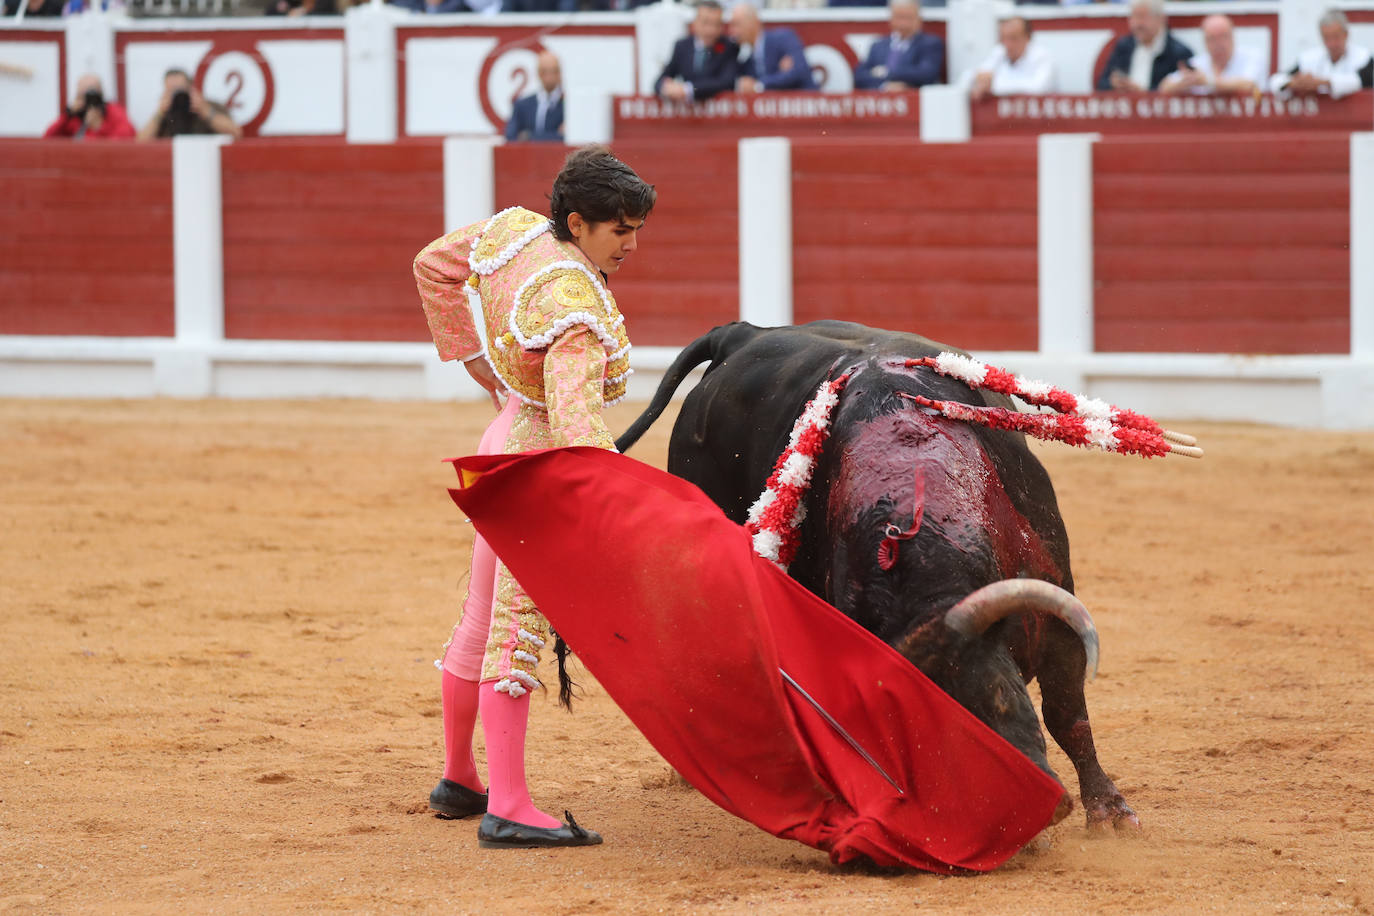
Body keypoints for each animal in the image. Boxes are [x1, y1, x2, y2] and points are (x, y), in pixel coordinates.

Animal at [621, 321, 1137, 829]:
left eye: (998, 702)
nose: (1026, 816)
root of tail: (742, 333)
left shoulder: (1056, 606)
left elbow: (1067, 713)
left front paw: (1108, 810)